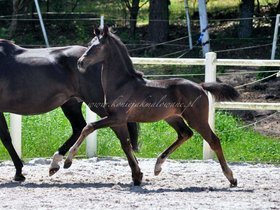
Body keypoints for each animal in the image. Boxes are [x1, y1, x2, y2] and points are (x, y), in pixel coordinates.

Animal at [0, 38, 139, 181]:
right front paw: (19, 172)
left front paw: (19, 172)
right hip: (71, 104)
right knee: (79, 127)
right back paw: (56, 164)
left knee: (120, 132)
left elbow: (5, 138)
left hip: (98, 104)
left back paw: (136, 173)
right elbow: (6, 137)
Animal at [65, 26, 238, 187]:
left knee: (213, 140)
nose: (80, 63)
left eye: (97, 46)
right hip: (172, 117)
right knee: (185, 134)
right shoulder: (119, 121)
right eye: (89, 44)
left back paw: (231, 178)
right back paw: (157, 166)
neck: (122, 84)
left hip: (197, 119)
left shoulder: (116, 118)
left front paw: (67, 162)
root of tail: (200, 86)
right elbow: (125, 144)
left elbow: (89, 127)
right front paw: (137, 176)